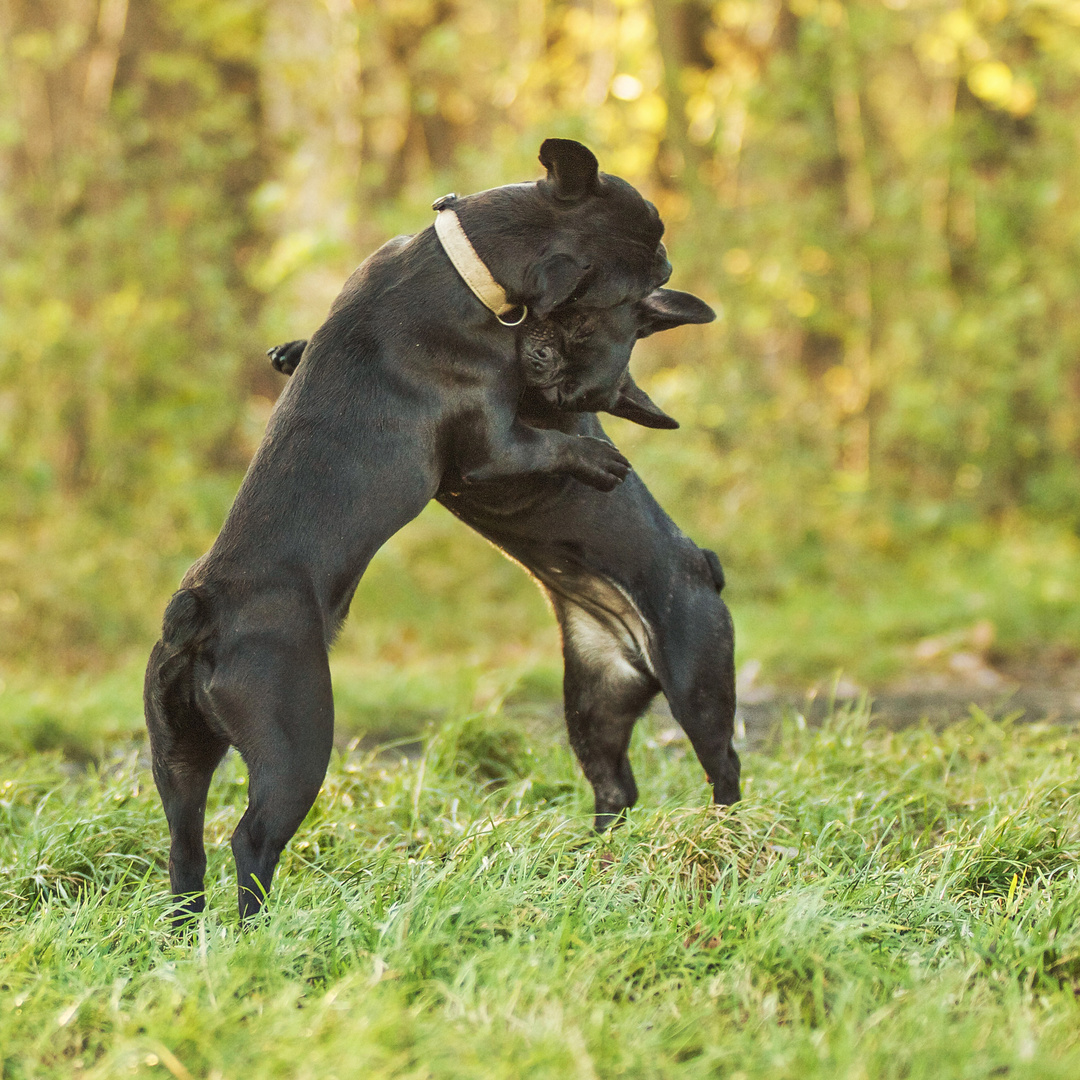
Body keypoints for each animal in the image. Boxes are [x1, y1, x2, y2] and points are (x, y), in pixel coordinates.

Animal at [141, 137, 717, 920]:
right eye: (646, 243)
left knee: (185, 839)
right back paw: (259, 926)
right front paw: (600, 459)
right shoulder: (492, 449)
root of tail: (198, 611)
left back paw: (188, 928)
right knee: (251, 838)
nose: (667, 260)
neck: (465, 262)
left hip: (177, 753)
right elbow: (549, 444)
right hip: (295, 737)